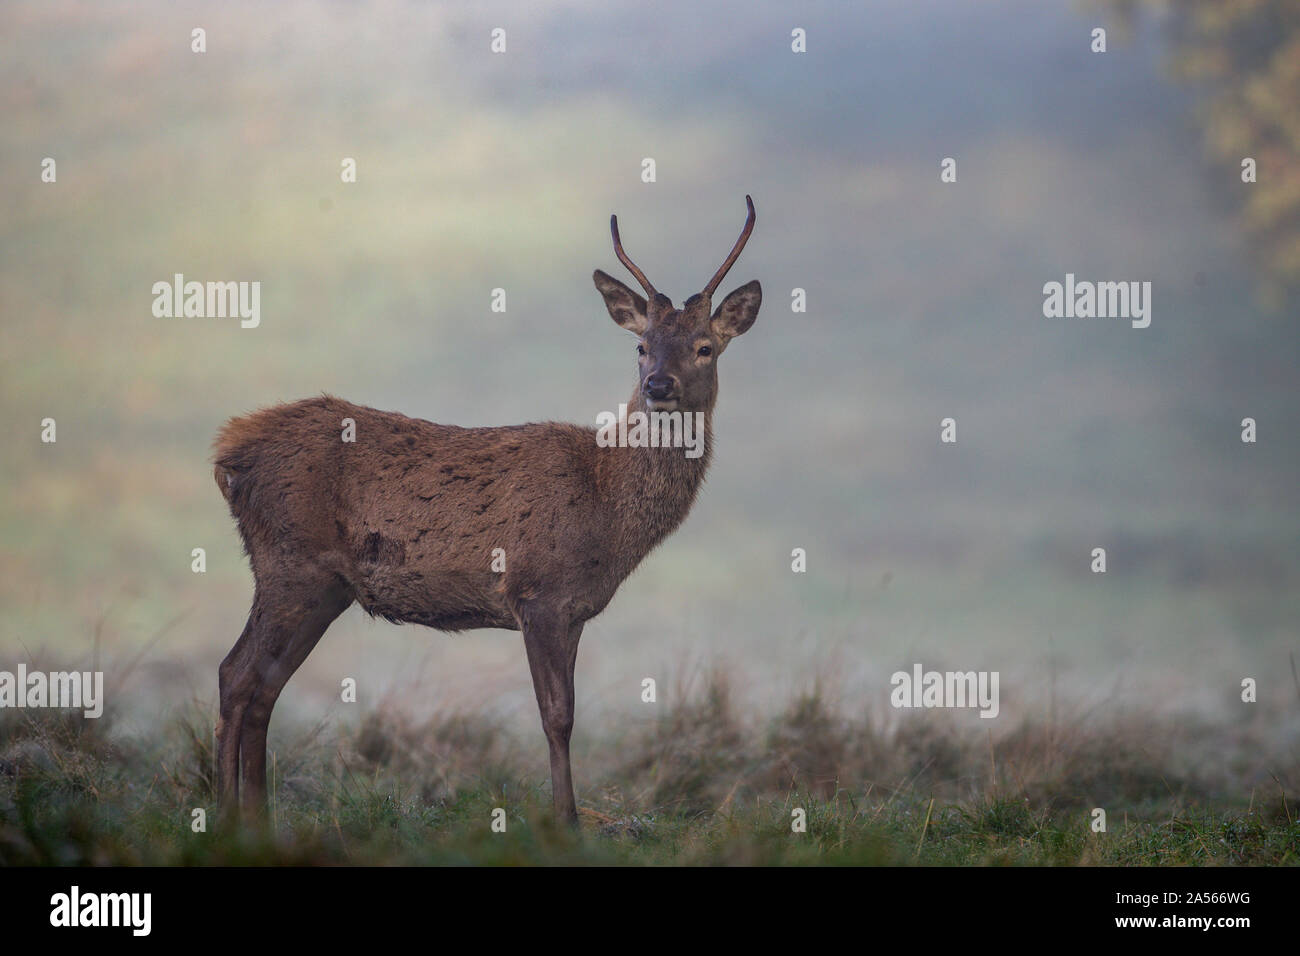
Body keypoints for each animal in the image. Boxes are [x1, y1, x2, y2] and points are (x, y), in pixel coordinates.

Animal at [212, 196, 761, 824]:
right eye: (640, 346)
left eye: (705, 347)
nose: (658, 385)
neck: (608, 508)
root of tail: (227, 452)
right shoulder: (537, 592)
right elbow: (558, 717)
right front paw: (567, 822)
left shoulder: (573, 610)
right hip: (289, 562)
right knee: (236, 675)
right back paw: (227, 818)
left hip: (323, 586)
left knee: (263, 686)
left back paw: (257, 820)